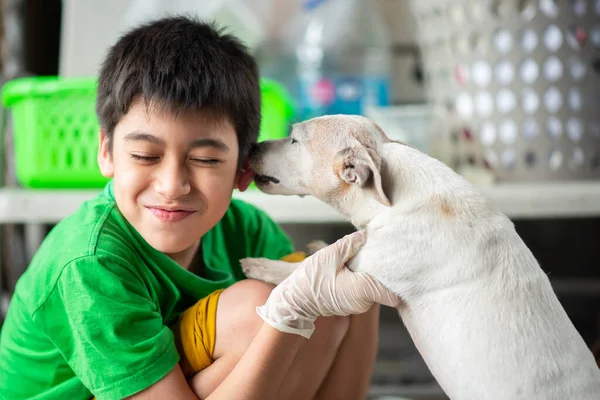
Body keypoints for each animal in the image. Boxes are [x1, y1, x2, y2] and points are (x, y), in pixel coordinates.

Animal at [241, 114, 600, 400]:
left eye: (295, 139)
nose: (253, 146)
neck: (391, 194)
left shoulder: (365, 269)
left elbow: (298, 272)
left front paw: (259, 264)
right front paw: (318, 246)